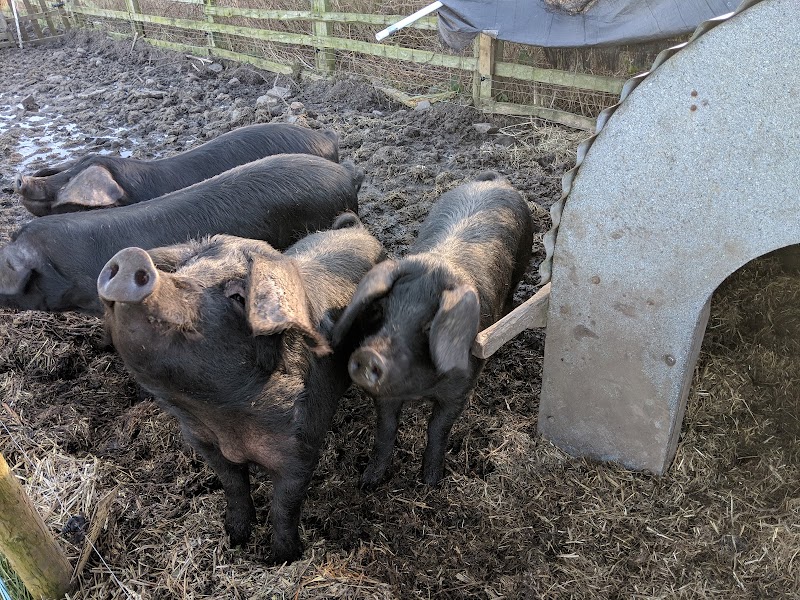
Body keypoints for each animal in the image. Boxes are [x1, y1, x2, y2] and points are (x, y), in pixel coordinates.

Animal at [97, 215, 385, 564]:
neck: (225, 420)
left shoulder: (301, 450)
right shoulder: (204, 444)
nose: (131, 256)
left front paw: (283, 558)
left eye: (238, 297)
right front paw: (235, 537)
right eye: (182, 270)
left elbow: (284, 507)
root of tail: (357, 228)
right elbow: (233, 487)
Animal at [331, 173, 533, 488]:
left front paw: (430, 482)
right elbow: (386, 430)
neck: (419, 387)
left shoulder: (460, 388)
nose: (368, 356)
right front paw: (368, 482)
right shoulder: (386, 396)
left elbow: (437, 429)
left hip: (523, 258)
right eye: (380, 310)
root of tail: (492, 180)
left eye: (430, 325)